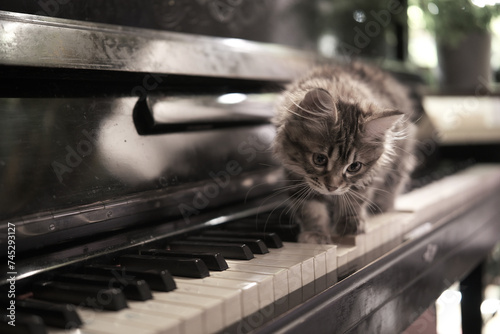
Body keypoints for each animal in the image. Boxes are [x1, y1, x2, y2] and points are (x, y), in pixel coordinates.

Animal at [274, 61, 418, 244]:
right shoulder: (295, 174)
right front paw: (316, 233)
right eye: (319, 159)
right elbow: (310, 207)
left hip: (400, 162)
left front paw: (350, 224)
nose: (332, 188)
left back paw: (383, 207)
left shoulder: (366, 176)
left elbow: (354, 197)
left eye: (354, 167)